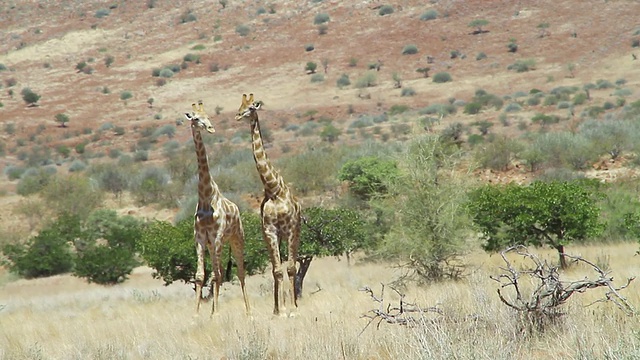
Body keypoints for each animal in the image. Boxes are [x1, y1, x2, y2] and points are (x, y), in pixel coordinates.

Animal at [185, 100, 250, 316]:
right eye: (196, 118)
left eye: (209, 117)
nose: (211, 128)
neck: (206, 197)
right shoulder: (200, 238)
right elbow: (200, 275)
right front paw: (196, 315)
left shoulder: (217, 236)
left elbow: (215, 275)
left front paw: (216, 314)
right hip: (215, 245)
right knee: (219, 272)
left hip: (236, 239)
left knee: (239, 272)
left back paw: (249, 313)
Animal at [235, 93, 302, 316]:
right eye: (240, 106)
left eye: (251, 108)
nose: (238, 115)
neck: (273, 189)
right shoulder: (270, 230)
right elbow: (277, 270)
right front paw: (280, 310)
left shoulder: (289, 229)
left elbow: (289, 268)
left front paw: (292, 308)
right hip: (273, 237)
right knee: (277, 268)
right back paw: (277, 308)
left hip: (295, 232)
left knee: (293, 265)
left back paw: (294, 303)